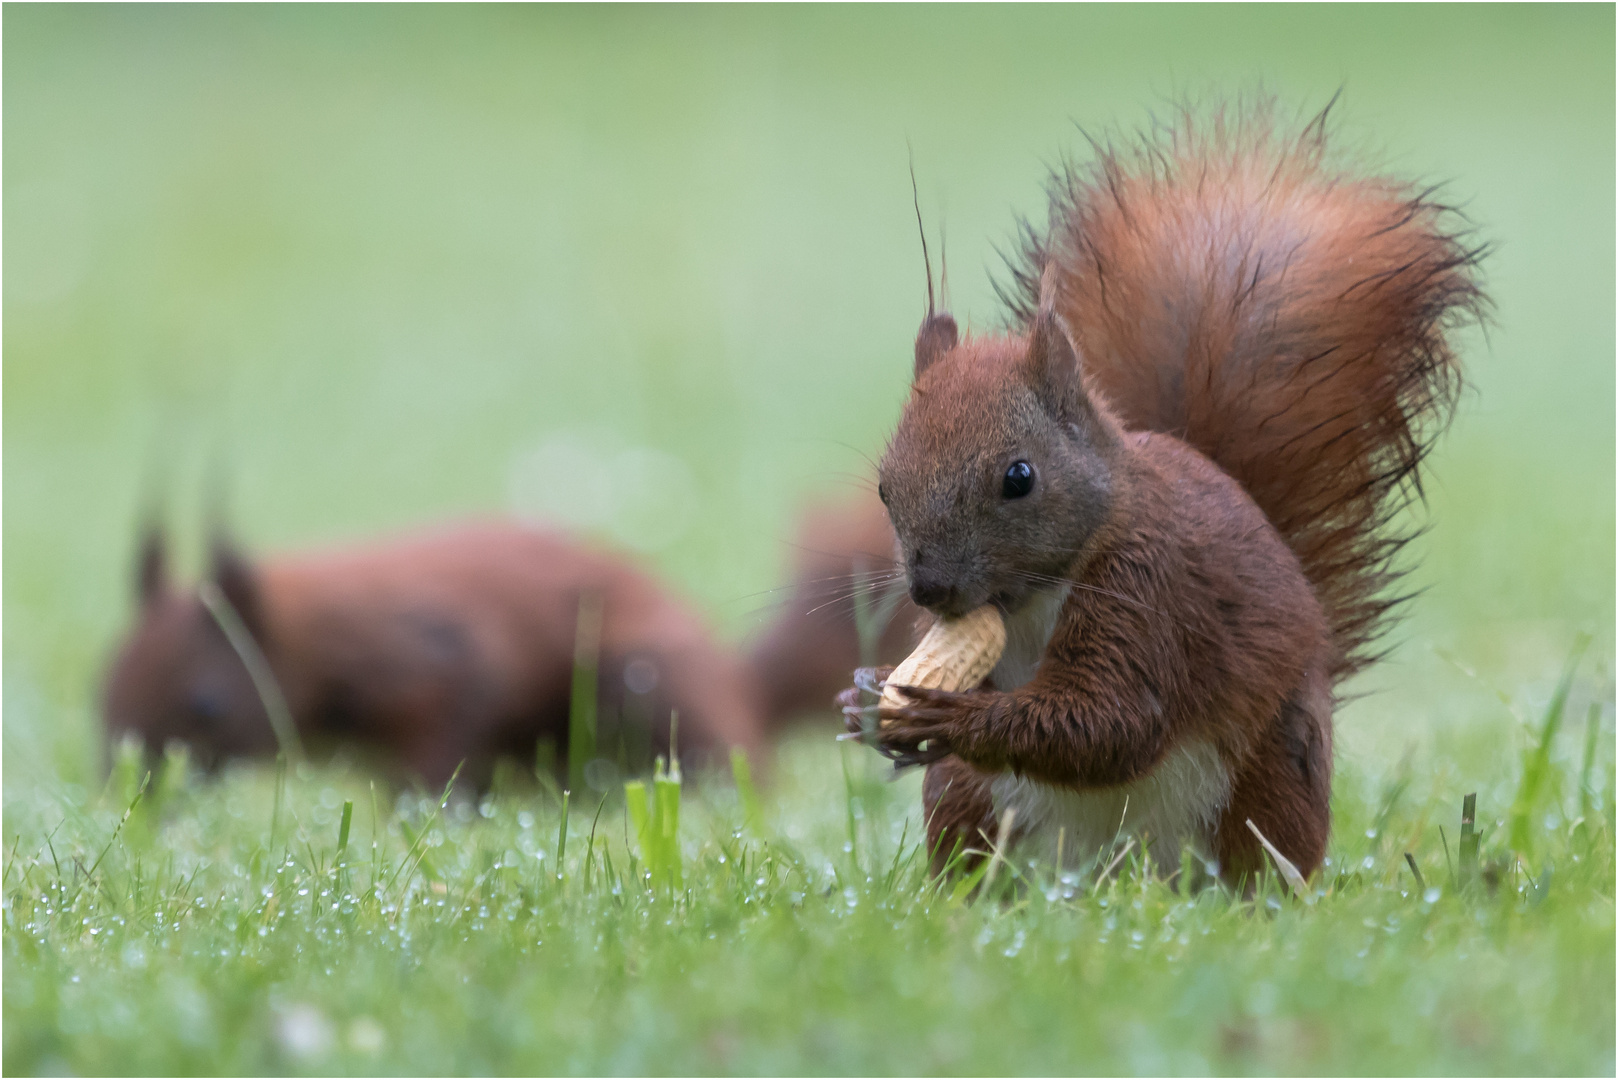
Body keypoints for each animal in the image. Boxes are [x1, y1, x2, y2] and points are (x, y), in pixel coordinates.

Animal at [104, 518, 766, 790]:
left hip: (639, 686)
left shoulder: (430, 664)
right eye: (101, 693)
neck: (311, 637)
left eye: (207, 706)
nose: (129, 790)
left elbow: (440, 741)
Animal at [841, 97, 1482, 880]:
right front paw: (865, 697)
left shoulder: (1152, 589)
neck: (1035, 596)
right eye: (883, 487)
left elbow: (1110, 722)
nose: (930, 590)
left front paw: (945, 714)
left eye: (1019, 478)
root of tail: (1105, 873)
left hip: (1270, 783)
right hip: (969, 800)